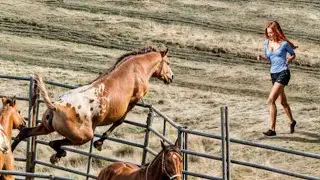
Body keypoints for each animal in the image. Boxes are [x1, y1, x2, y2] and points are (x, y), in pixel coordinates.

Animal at [11, 46, 174, 165]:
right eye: (168, 63)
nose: (171, 77)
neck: (137, 68)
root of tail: (57, 106)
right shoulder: (135, 99)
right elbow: (119, 121)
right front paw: (99, 143)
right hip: (84, 136)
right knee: (54, 142)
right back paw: (59, 154)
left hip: (46, 127)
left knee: (25, 133)